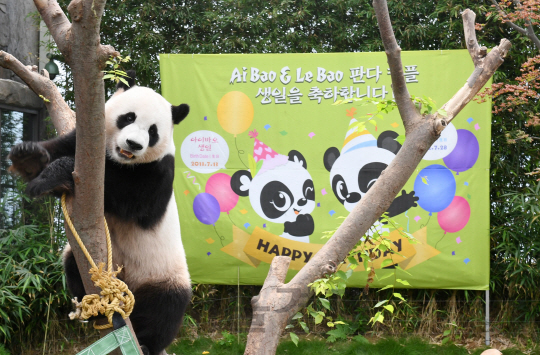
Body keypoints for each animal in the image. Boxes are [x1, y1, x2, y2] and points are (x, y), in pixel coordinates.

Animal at [8, 72, 191, 355]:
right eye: (128, 117)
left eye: (153, 131)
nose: (133, 144)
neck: (120, 159)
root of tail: (128, 284)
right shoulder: (82, 142)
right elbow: (58, 150)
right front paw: (29, 158)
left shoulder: (159, 172)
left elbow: (128, 197)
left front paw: (57, 172)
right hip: (86, 263)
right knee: (73, 266)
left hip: (163, 274)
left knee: (165, 307)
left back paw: (147, 342)